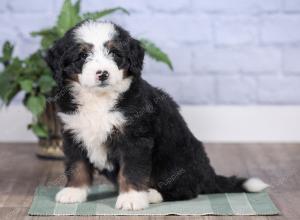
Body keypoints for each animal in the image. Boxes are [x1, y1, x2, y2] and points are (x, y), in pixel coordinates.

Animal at [45, 21, 270, 211]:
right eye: (82, 56)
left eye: (115, 54)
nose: (102, 73)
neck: (100, 100)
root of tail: (208, 173)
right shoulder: (73, 132)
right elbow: (77, 166)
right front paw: (73, 191)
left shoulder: (135, 139)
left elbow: (132, 170)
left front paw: (132, 198)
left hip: (175, 162)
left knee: (186, 190)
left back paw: (152, 194)